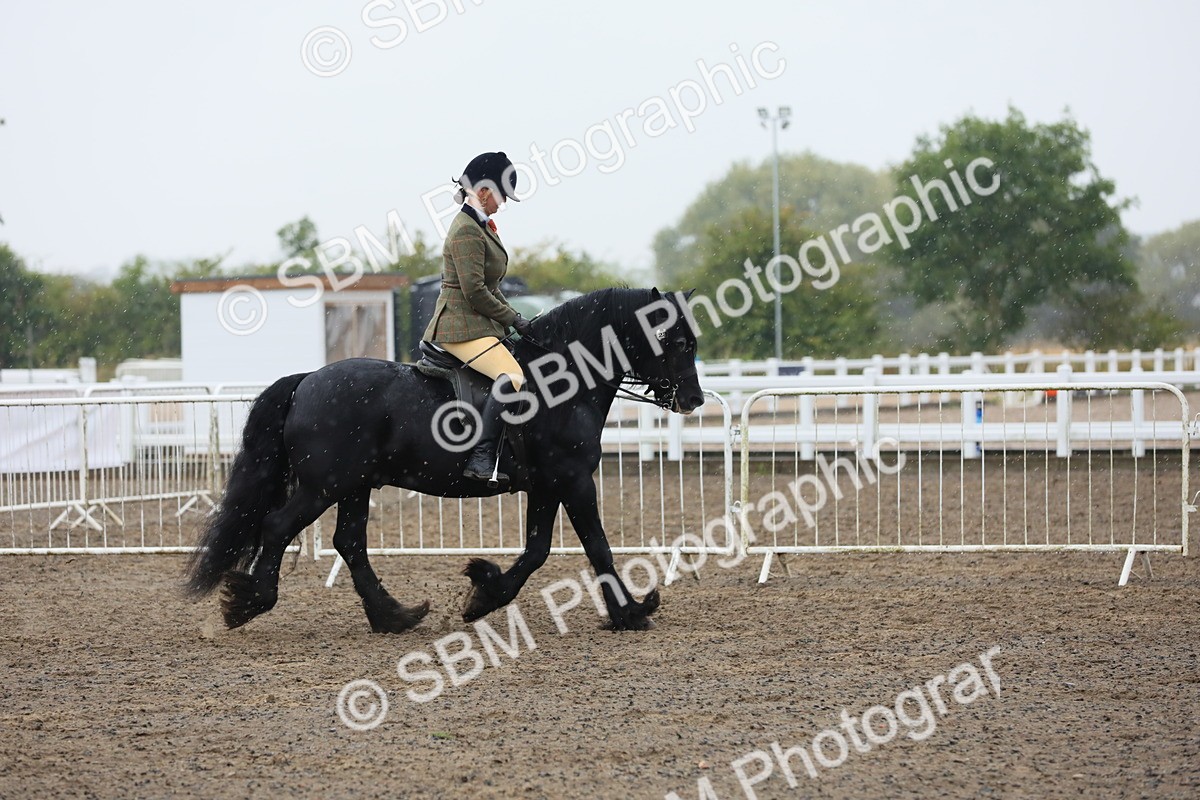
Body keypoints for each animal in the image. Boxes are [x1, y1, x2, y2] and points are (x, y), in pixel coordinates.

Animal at [184, 287, 704, 633]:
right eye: (677, 342)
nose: (694, 400)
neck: (563, 380)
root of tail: (308, 380)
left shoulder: (547, 484)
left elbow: (537, 551)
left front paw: (483, 595)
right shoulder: (573, 479)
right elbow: (597, 547)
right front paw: (630, 613)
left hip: (354, 485)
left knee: (349, 543)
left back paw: (393, 616)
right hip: (324, 485)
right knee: (277, 527)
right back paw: (250, 603)